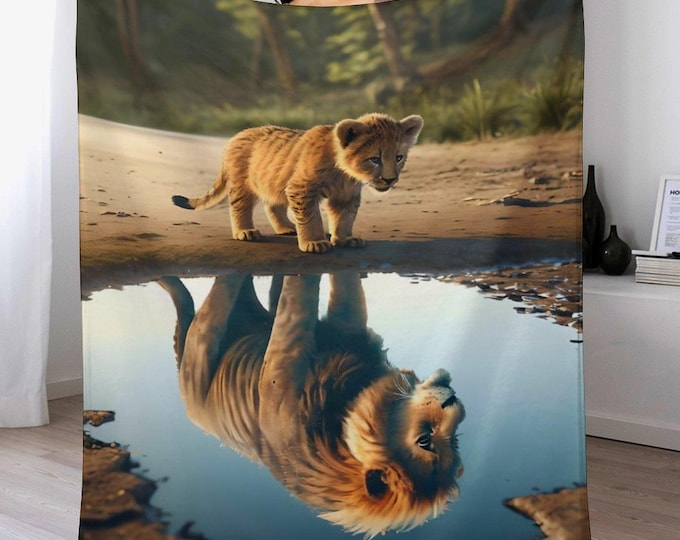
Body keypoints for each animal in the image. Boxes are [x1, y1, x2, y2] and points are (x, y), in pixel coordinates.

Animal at [158, 271, 464, 538]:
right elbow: (338, 291)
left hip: (202, 349)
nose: (453, 401)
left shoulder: (279, 372)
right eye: (427, 441)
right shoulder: (342, 329)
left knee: (213, 301)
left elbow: (297, 301)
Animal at [171, 113, 424, 253]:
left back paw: (286, 228)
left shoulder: (345, 195)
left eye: (399, 157)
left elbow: (344, 218)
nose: (390, 179)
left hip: (275, 181)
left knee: (272, 205)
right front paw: (314, 243)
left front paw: (344, 239)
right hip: (243, 184)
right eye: (375, 159)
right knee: (239, 206)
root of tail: (236, 136)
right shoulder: (302, 188)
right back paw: (245, 231)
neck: (344, 172)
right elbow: (311, 218)